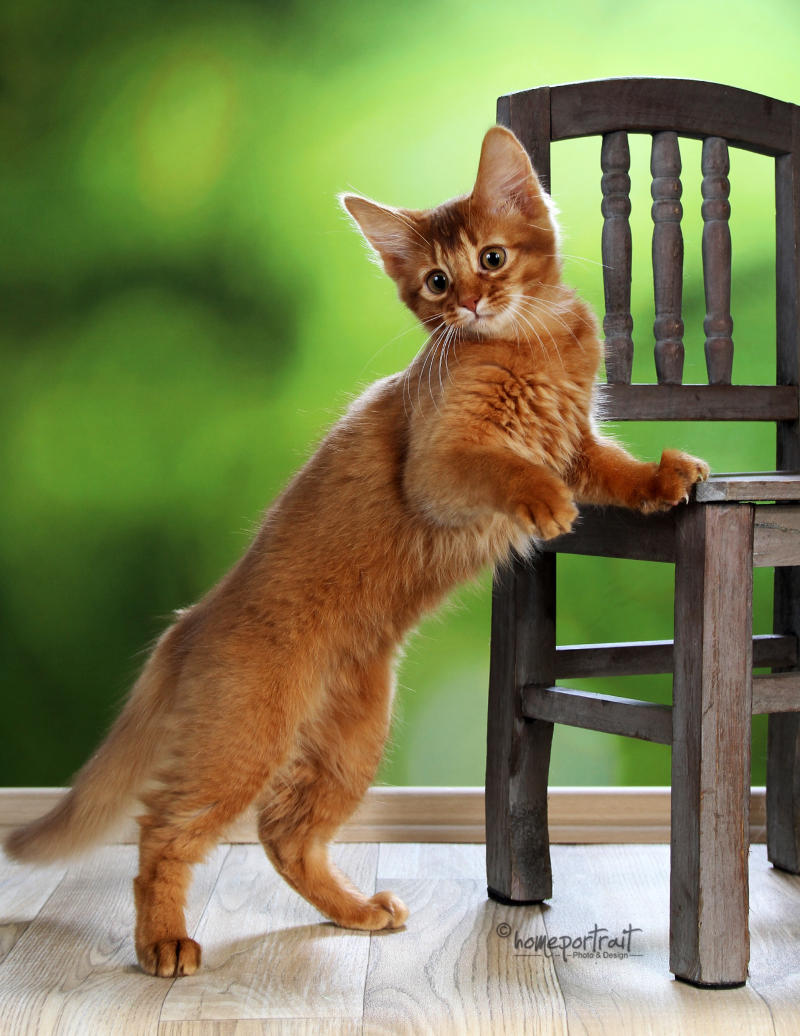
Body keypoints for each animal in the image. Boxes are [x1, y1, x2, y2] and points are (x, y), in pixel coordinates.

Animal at [4, 125, 708, 978]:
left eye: (493, 258)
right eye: (436, 281)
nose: (469, 303)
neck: (527, 343)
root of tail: (190, 623)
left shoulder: (578, 441)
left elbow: (614, 469)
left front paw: (664, 477)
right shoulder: (439, 465)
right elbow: (506, 467)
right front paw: (543, 502)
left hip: (352, 740)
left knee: (284, 834)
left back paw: (353, 911)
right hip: (243, 736)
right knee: (165, 828)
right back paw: (163, 939)